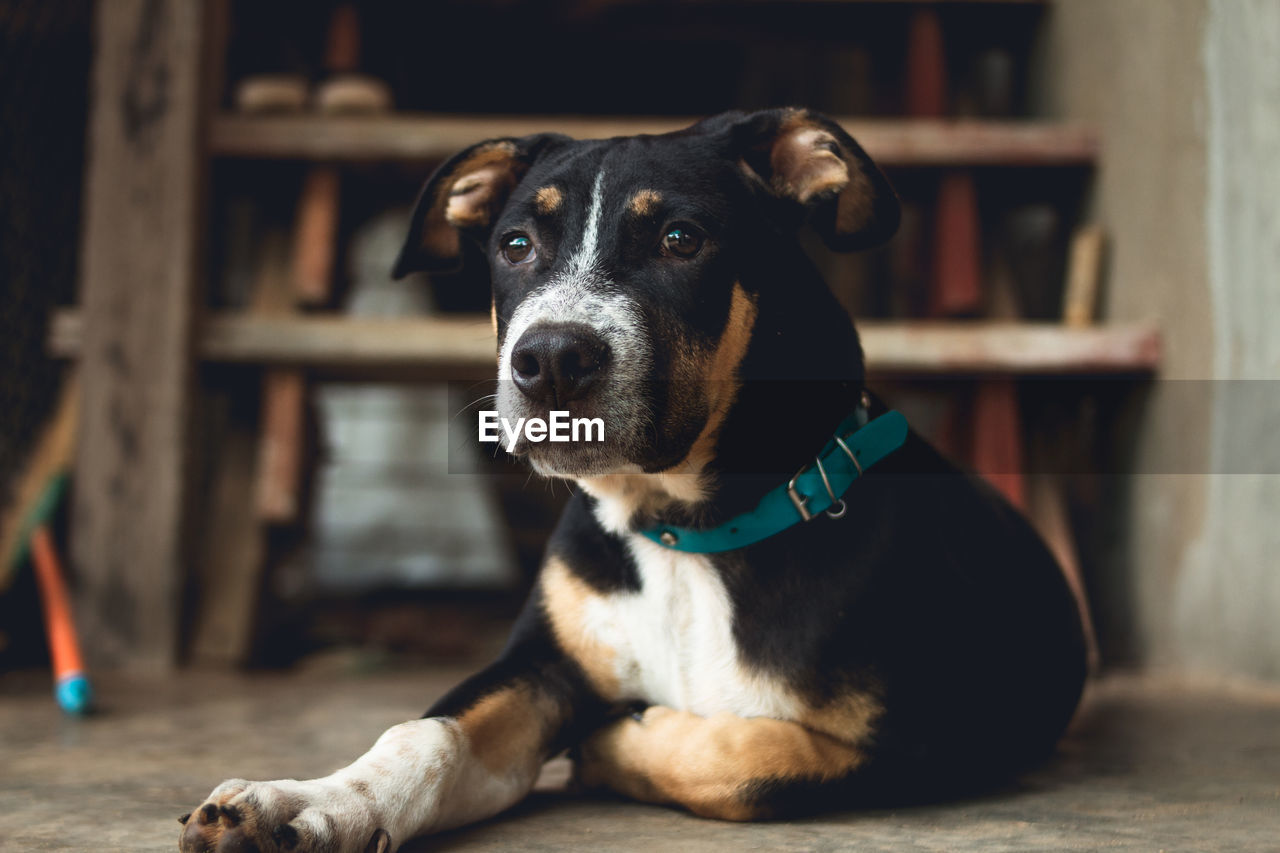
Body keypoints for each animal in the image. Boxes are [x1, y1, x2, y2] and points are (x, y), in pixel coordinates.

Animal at [177, 109, 1080, 850]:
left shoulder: (939, 736)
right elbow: (426, 734)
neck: (685, 530)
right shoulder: (544, 665)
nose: (548, 359)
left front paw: (621, 744)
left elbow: (757, 760)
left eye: (681, 238)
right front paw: (304, 804)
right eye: (515, 245)